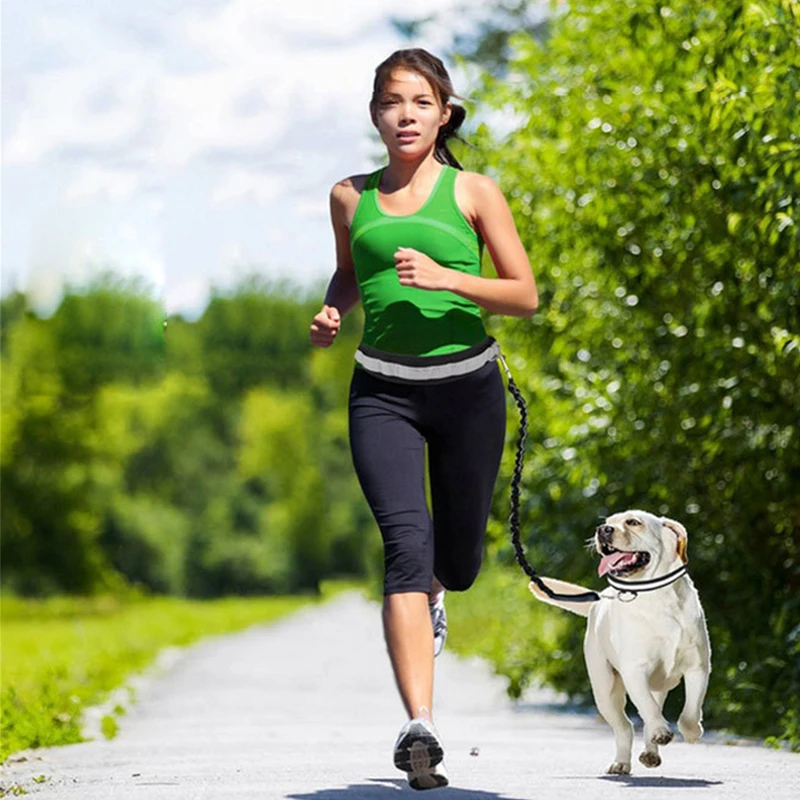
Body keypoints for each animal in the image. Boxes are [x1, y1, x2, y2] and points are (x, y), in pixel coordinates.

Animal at [532, 512, 712, 776]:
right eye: (608, 522)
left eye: (634, 522)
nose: (602, 530)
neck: (656, 597)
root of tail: (597, 601)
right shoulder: (634, 670)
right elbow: (648, 709)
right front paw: (662, 731)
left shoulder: (697, 667)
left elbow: (691, 708)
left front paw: (691, 732)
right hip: (605, 689)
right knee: (626, 725)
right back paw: (622, 761)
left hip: (656, 686)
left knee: (650, 712)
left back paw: (650, 752)